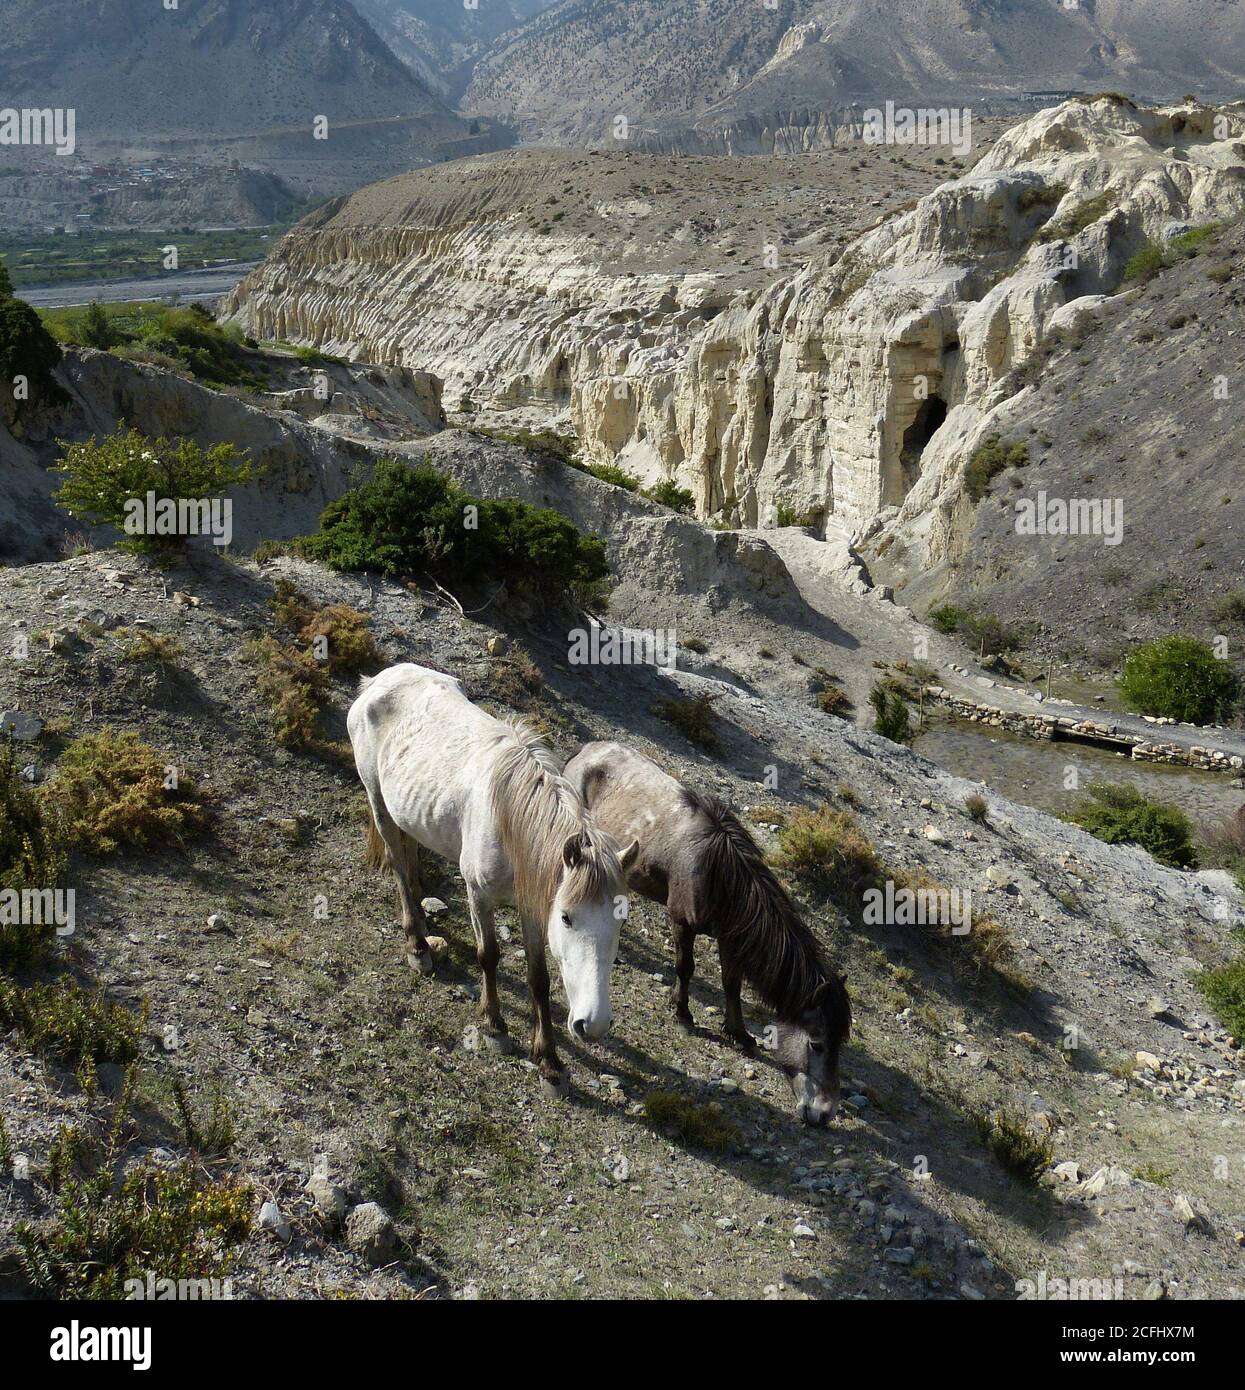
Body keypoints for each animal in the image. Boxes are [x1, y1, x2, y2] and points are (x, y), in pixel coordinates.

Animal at [348, 664, 638, 1093]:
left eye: (619, 922)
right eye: (567, 918)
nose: (595, 1024)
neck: (511, 818)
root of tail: (378, 680)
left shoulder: (532, 905)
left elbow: (538, 977)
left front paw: (549, 1062)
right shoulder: (479, 895)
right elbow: (489, 955)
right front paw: (495, 1026)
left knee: (411, 852)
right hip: (378, 802)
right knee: (399, 866)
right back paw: (417, 945)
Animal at [564, 741, 851, 1125]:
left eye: (840, 1044)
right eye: (816, 1043)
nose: (824, 1113)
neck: (718, 873)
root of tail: (585, 751)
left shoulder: (730, 938)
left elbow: (732, 984)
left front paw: (738, 1032)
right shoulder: (682, 923)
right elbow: (686, 968)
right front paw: (682, 1013)